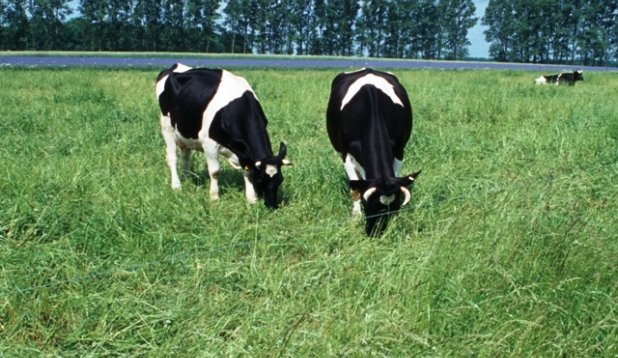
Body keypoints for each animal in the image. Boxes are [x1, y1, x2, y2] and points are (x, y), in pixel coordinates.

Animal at [154, 63, 288, 208]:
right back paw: (177, 185)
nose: (272, 205)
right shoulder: (209, 144)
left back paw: (186, 178)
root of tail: (175, 66)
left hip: (185, 131)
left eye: (280, 180)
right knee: (172, 157)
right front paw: (214, 198)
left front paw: (251, 198)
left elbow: (248, 172)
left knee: (185, 155)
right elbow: (215, 171)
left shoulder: (245, 154)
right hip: (166, 125)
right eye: (260, 180)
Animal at [324, 68, 422, 236]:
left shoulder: (399, 151)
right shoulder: (346, 154)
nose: (375, 233)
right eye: (368, 205)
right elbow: (355, 189)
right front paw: (355, 217)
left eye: (393, 207)